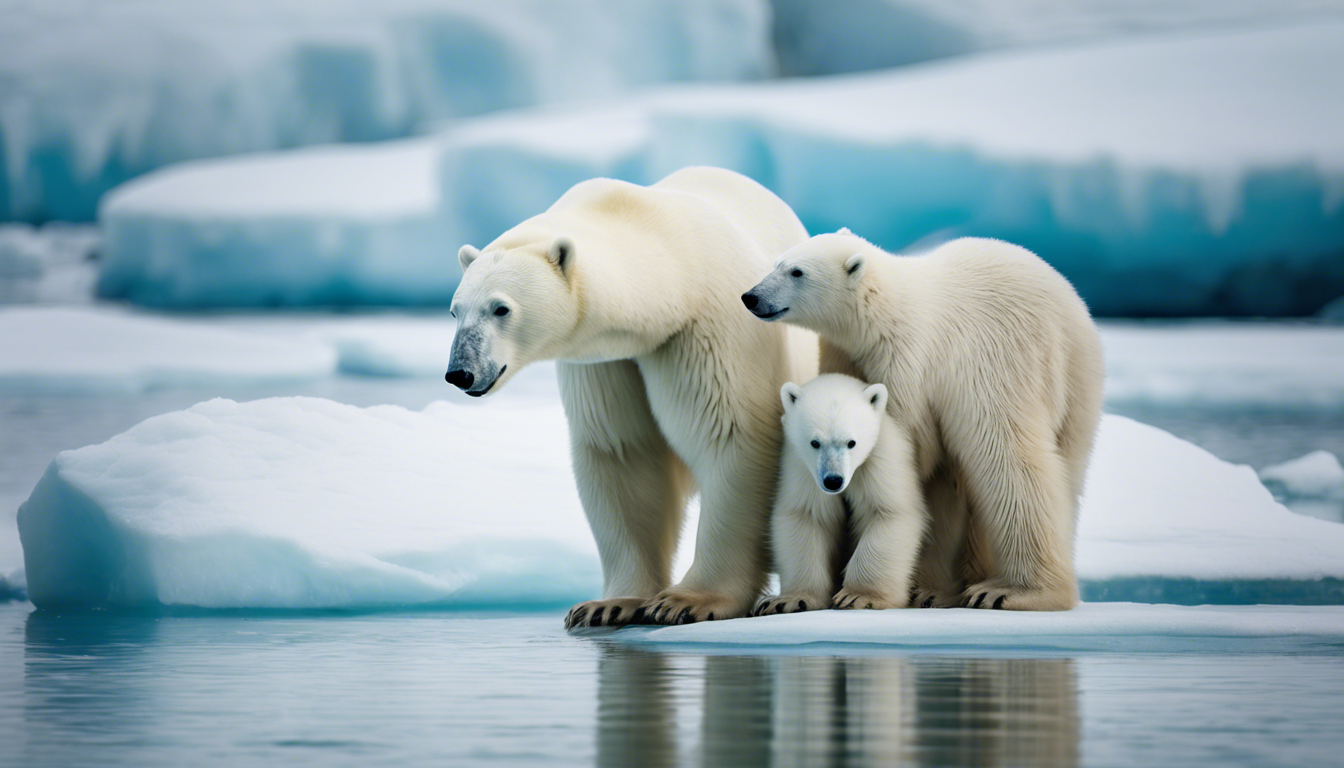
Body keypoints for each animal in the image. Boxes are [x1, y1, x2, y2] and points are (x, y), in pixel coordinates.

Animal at [446, 166, 811, 624]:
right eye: (455, 310)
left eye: (500, 308)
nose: (460, 372)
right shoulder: (607, 362)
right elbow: (624, 453)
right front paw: (609, 605)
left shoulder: (716, 329)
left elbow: (731, 436)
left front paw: (687, 601)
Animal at [752, 376, 930, 616]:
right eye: (815, 442)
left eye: (851, 442)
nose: (833, 480)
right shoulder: (802, 468)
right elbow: (807, 517)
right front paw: (790, 600)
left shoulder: (880, 459)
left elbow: (888, 512)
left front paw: (858, 596)